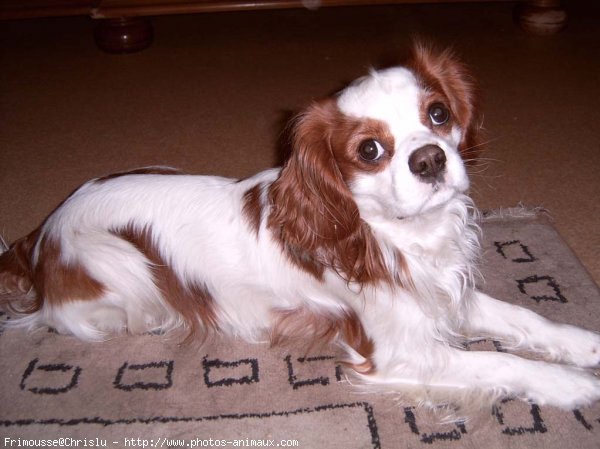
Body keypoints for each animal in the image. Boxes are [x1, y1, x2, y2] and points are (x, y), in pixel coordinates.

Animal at [1, 43, 600, 412]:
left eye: (437, 114)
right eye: (370, 150)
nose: (430, 159)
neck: (399, 234)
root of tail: (39, 235)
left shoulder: (441, 295)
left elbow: (524, 317)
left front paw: (583, 345)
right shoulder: (399, 351)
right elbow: (498, 359)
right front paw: (570, 385)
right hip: (124, 265)